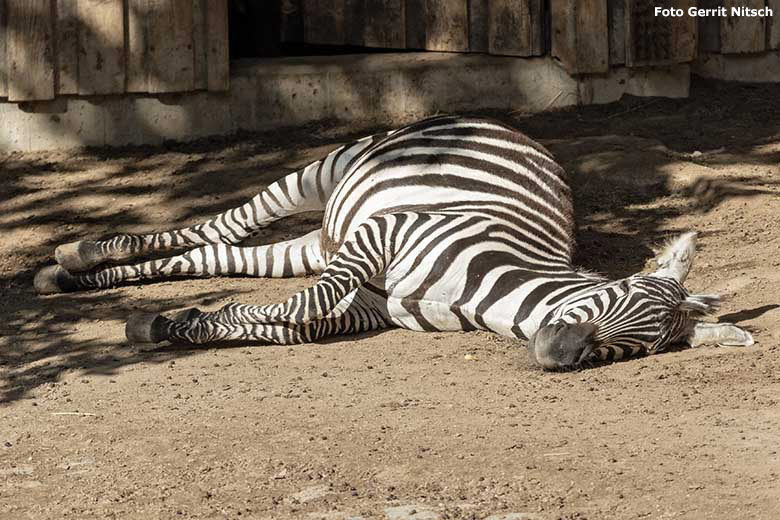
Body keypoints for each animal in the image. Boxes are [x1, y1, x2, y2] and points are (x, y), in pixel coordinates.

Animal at [32, 116, 756, 372]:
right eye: (614, 293)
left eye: (639, 348)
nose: (557, 354)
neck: (487, 296)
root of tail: (518, 130)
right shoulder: (388, 231)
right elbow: (303, 308)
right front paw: (187, 320)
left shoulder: (374, 306)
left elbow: (294, 322)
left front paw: (173, 323)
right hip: (332, 172)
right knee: (225, 225)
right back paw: (84, 253)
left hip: (319, 240)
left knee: (215, 254)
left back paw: (70, 274)